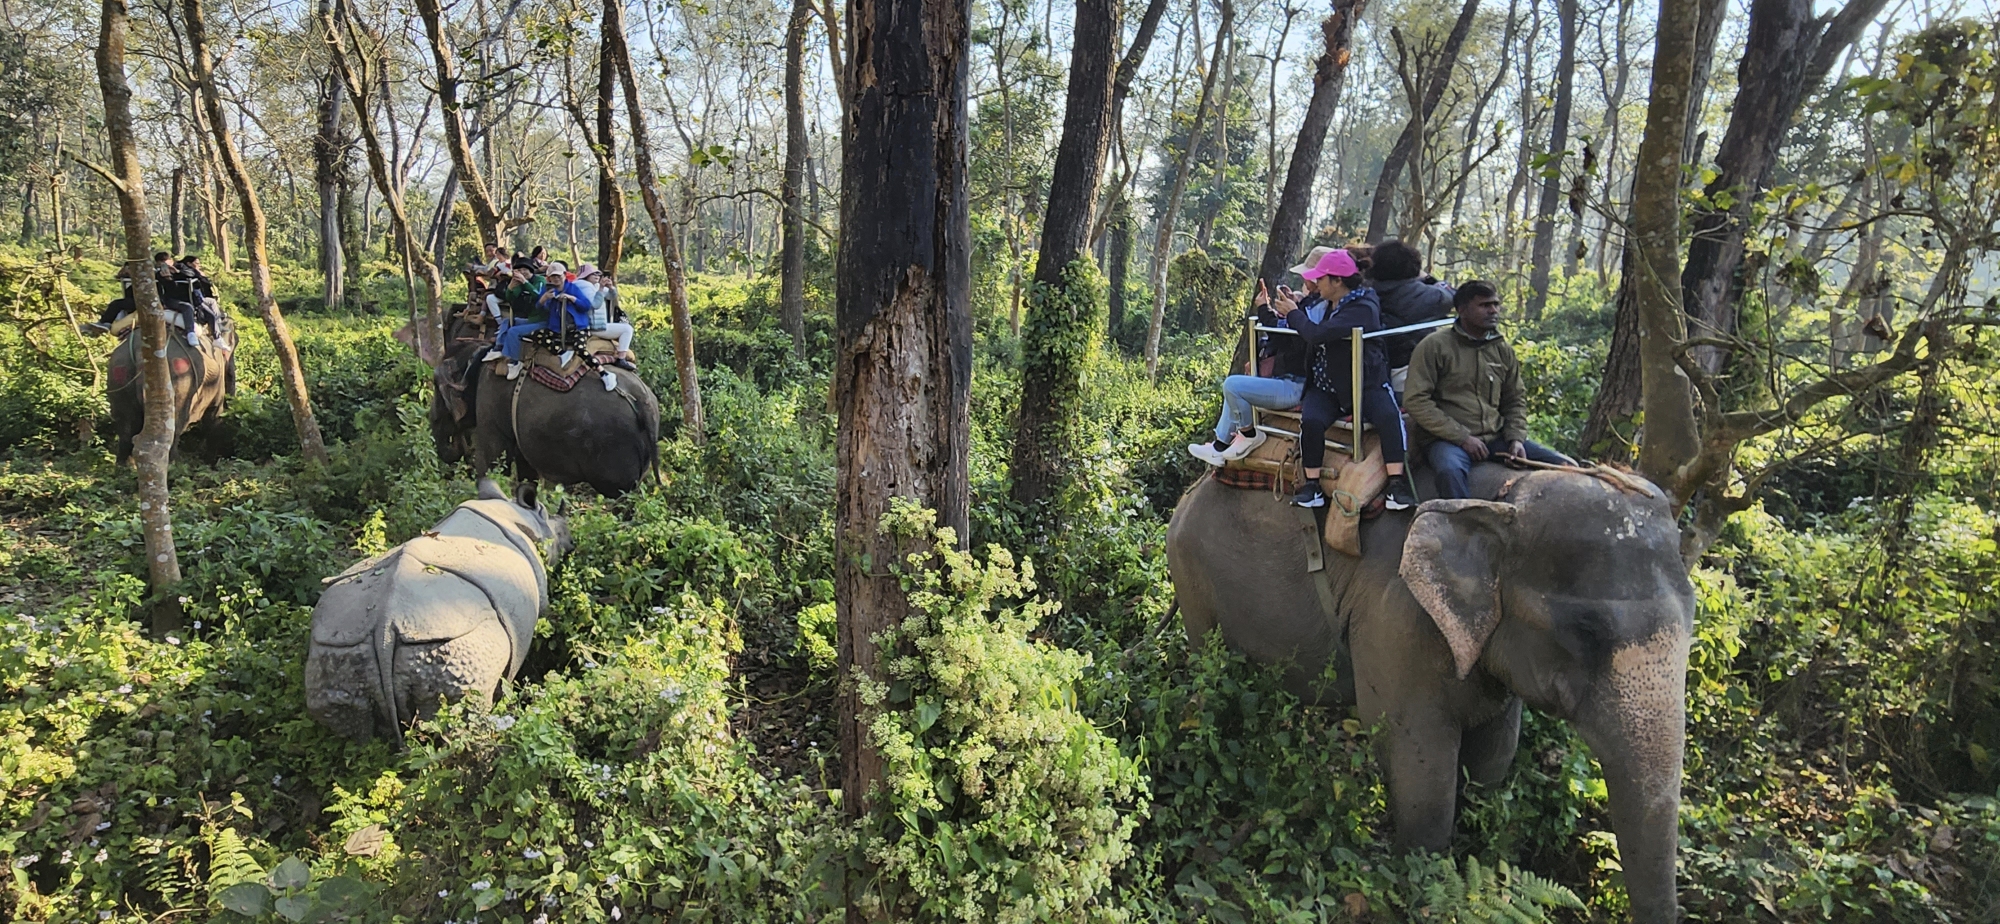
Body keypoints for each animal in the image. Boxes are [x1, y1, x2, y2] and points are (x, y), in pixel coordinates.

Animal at [106, 318, 239, 462]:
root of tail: (139, 348)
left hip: (119, 372)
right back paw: (176, 464)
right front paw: (210, 463)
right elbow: (214, 415)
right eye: (236, 342)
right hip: (178, 381)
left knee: (126, 430)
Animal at [306, 476, 572, 744]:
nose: (571, 544)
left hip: (340, 648)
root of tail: (385, 626)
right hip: (456, 645)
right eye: (559, 530)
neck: (521, 514)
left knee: (351, 723)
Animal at [1168, 470, 1696, 924]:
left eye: (1693, 615)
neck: (1500, 497)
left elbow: (1494, 755)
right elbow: (1419, 764)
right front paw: (1424, 890)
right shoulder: (1394, 622)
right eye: (1585, 632)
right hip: (1193, 586)